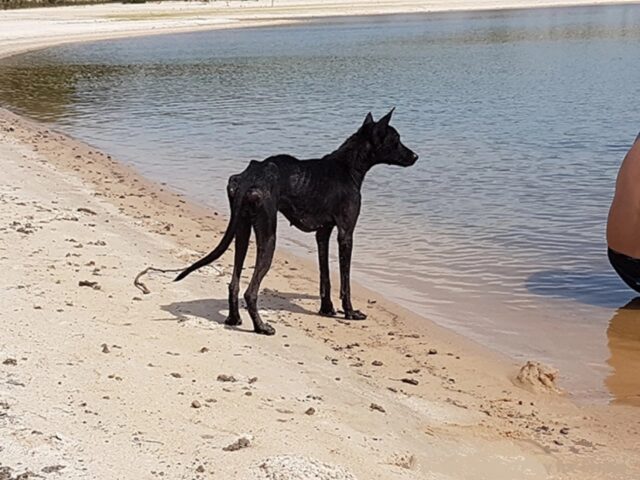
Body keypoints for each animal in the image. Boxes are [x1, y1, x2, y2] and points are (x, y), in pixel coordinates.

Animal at [175, 109, 418, 336]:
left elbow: (325, 276)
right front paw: (349, 312)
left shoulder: (323, 234)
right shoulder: (346, 233)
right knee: (250, 292)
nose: (415, 156)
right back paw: (261, 327)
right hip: (268, 237)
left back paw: (234, 319)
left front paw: (327, 309)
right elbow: (345, 281)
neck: (348, 167)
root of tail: (249, 176)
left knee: (234, 283)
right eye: (396, 139)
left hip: (242, 231)